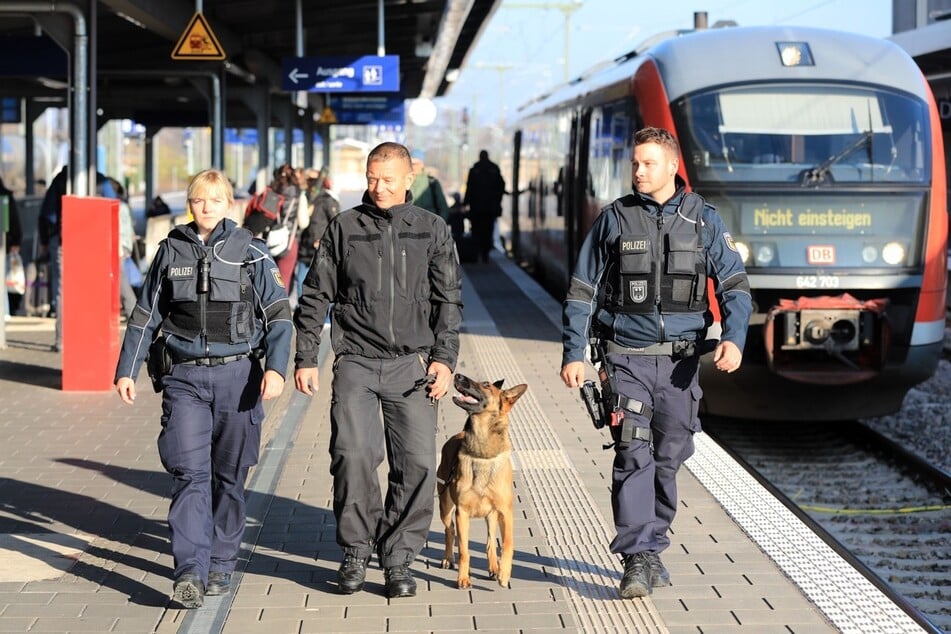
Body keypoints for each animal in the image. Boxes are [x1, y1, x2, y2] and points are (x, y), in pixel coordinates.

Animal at [438, 372, 528, 584]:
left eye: (486, 385)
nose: (457, 375)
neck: (482, 453)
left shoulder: (506, 512)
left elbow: (507, 544)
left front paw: (504, 573)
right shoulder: (461, 513)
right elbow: (464, 550)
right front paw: (463, 578)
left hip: (492, 515)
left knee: (490, 541)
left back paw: (494, 567)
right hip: (445, 507)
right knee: (449, 531)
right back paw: (448, 558)